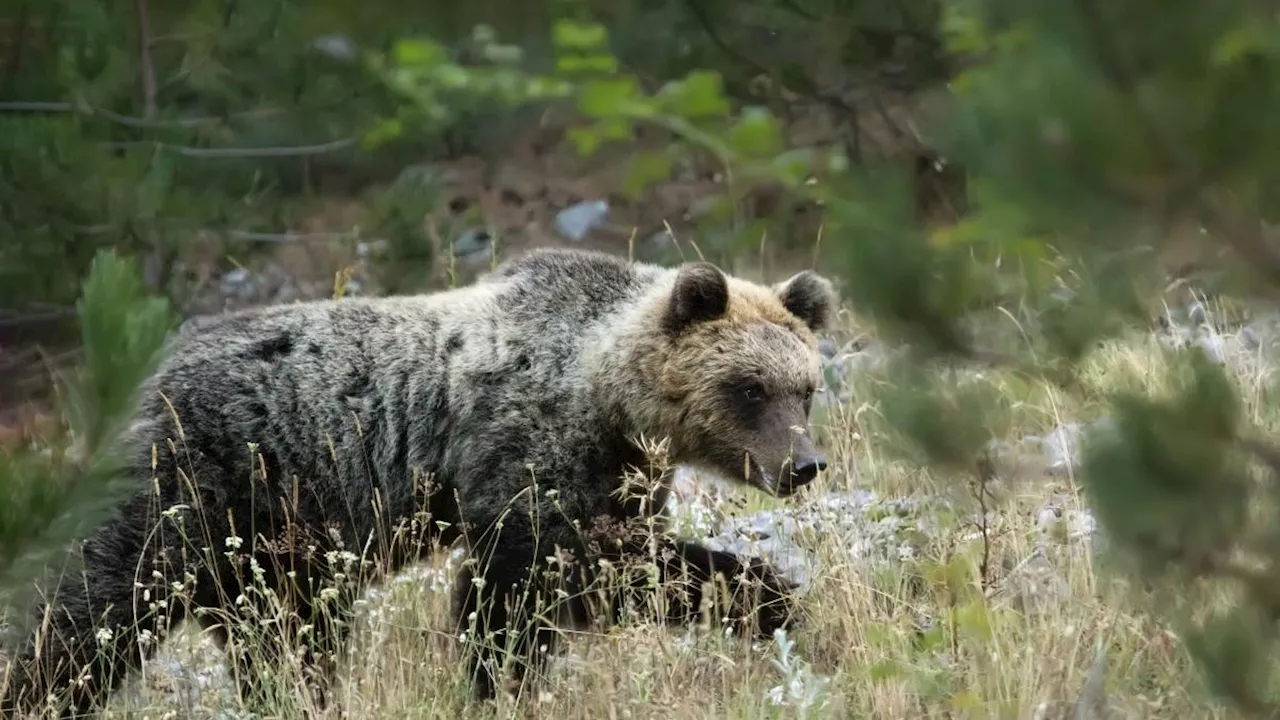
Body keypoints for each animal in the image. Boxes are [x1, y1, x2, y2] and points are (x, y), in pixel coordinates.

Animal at [2, 244, 839, 712]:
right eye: (749, 388)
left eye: (805, 387)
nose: (803, 466)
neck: (604, 394)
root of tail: (148, 376)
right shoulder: (522, 453)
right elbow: (520, 588)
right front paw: (497, 684)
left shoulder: (619, 476)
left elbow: (622, 567)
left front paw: (772, 600)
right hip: (196, 486)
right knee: (94, 610)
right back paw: (35, 689)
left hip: (272, 548)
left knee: (280, 635)